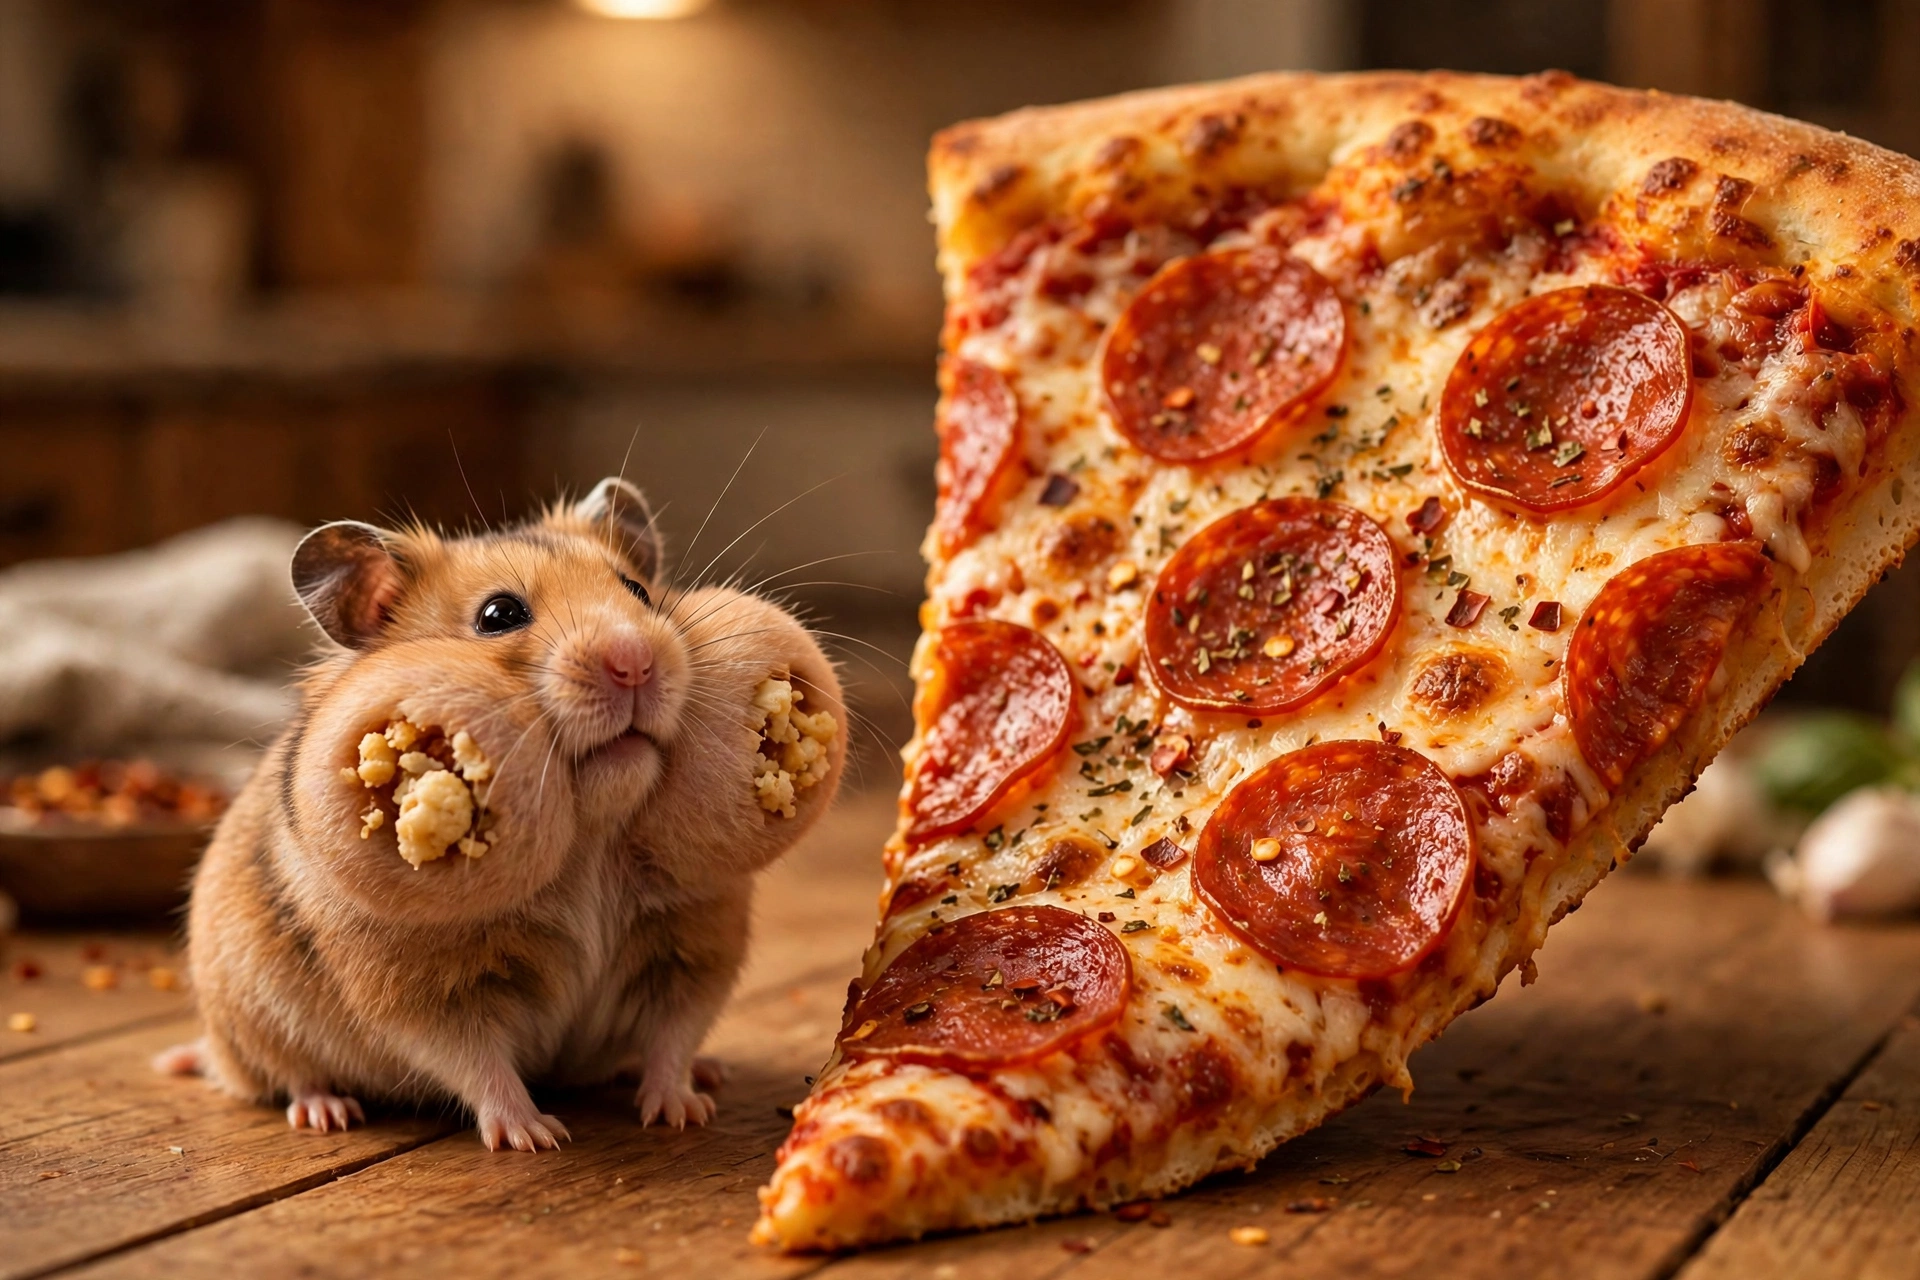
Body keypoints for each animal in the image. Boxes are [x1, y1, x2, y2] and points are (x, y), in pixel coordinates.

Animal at [154, 477, 844, 1150]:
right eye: (499, 615)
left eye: (639, 591)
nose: (635, 663)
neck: (593, 845)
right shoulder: (428, 992)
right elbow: (478, 1063)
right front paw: (535, 1137)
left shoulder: (693, 949)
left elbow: (674, 1037)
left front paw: (683, 1112)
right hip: (250, 1014)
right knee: (279, 1076)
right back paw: (327, 1112)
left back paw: (707, 1074)